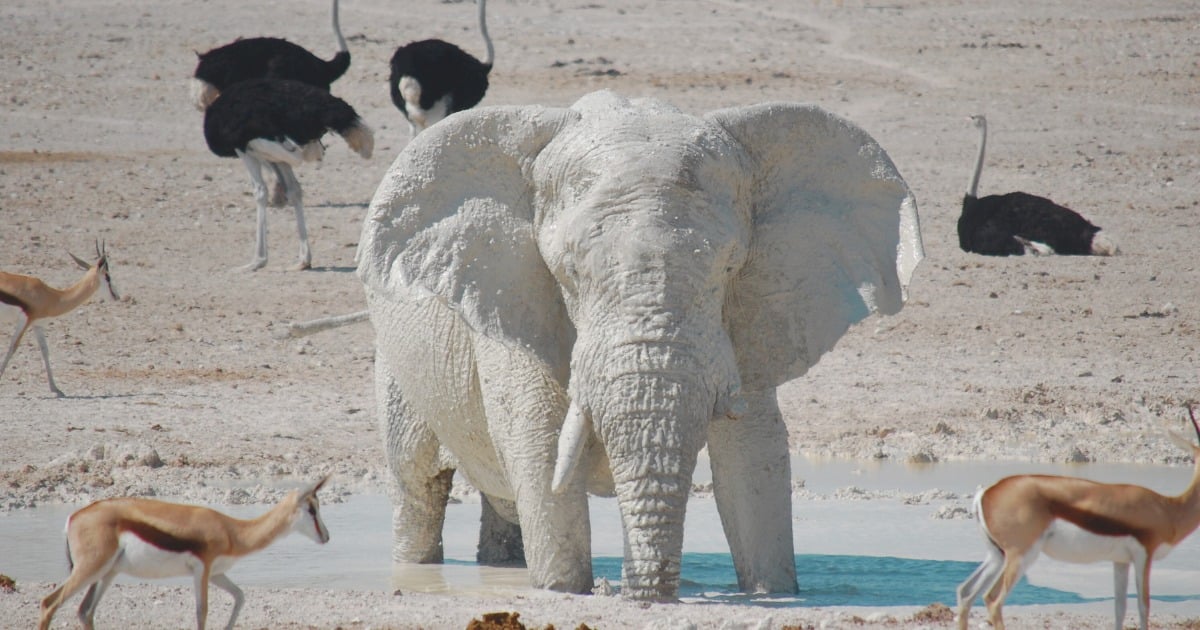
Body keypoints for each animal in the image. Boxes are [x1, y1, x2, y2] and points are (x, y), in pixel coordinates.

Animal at [0, 242, 118, 396]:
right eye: (108, 277)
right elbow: (12, 347)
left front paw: (56, 389)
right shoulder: (25, 320)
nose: (117, 296)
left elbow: (44, 351)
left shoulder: (37, 324)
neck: (52, 296)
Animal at [39, 477, 328, 628]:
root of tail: (74, 517)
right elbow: (202, 611)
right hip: (90, 569)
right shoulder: (202, 570)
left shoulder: (216, 574)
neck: (232, 530)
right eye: (311, 508)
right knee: (49, 603)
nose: (326, 536)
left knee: (85, 611)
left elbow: (240, 597)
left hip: (107, 573)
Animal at [360, 89, 921, 600]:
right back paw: (417, 569)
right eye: (569, 272)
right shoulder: (512, 297)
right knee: (418, 484)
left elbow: (753, 456)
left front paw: (772, 595)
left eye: (730, 267)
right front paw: (564, 592)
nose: (643, 594)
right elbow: (538, 446)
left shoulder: (744, 324)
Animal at [960, 408, 1200, 628]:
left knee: (966, 592)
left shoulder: (1121, 561)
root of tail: (987, 492)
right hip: (1021, 556)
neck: (1168, 509)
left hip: (997, 555)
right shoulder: (1144, 555)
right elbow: (1143, 606)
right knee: (993, 601)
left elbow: (1120, 608)